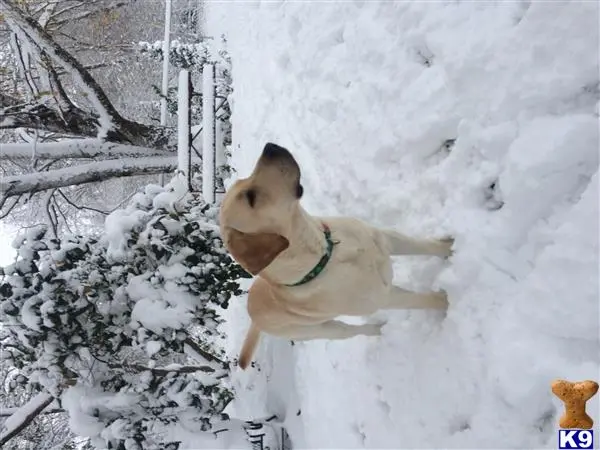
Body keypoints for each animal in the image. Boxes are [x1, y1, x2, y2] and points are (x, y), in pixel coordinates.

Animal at [218, 144, 452, 370]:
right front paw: (447, 301)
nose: (270, 147)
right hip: (325, 330)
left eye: (243, 182)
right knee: (354, 331)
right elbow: (423, 300)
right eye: (251, 197)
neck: (327, 252)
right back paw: (379, 329)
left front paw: (450, 247)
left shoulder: (385, 240)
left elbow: (424, 246)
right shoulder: (382, 297)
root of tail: (253, 317)